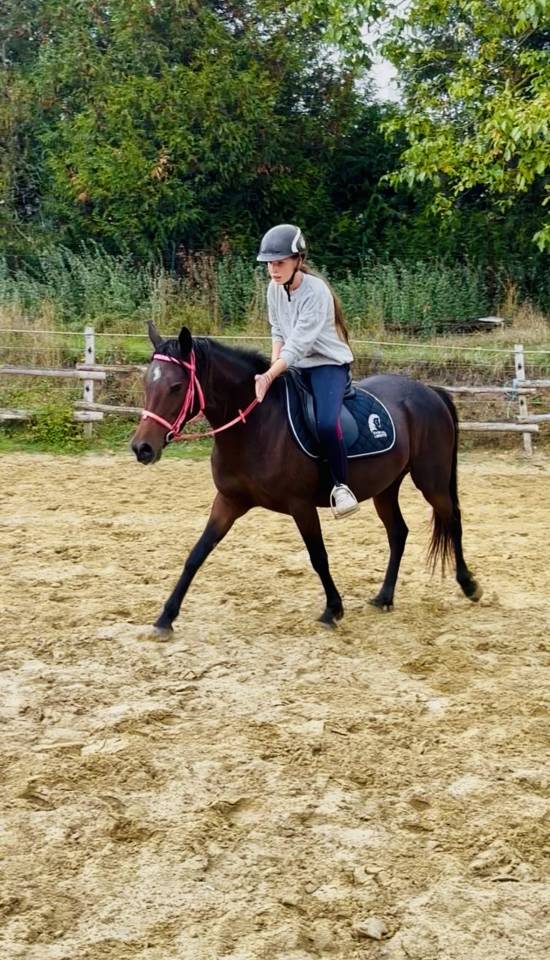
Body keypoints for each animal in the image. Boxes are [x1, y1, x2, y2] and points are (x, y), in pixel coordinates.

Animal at [130, 322, 482, 636]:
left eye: (176, 387)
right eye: (148, 382)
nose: (142, 448)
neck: (257, 427)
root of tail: (429, 392)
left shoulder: (301, 505)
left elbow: (318, 557)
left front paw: (333, 609)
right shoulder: (229, 501)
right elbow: (197, 554)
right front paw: (165, 618)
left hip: (432, 480)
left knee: (453, 519)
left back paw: (469, 585)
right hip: (386, 487)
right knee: (398, 533)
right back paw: (384, 597)